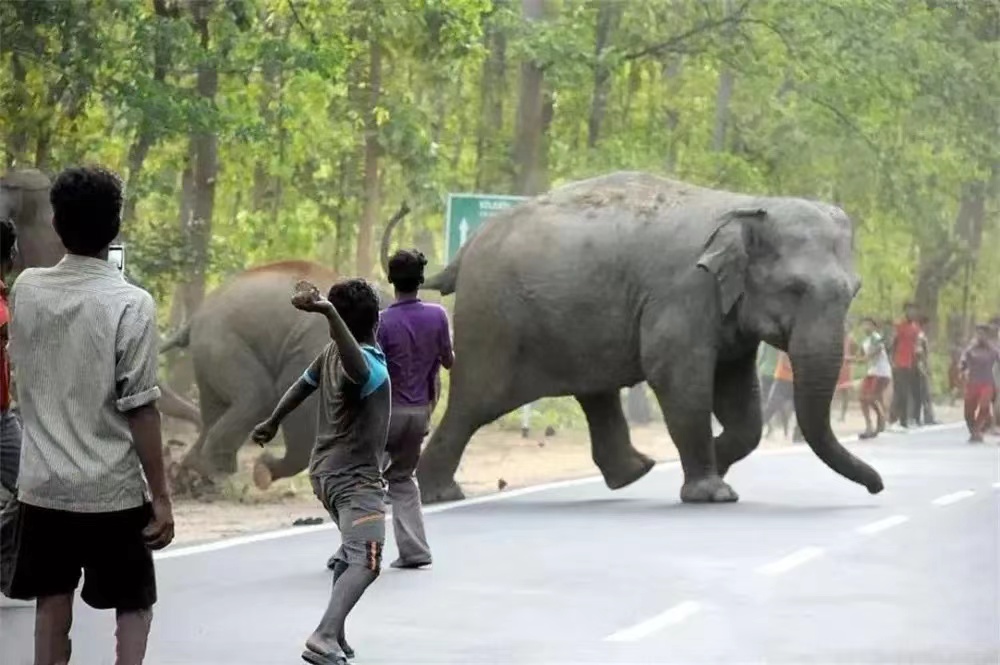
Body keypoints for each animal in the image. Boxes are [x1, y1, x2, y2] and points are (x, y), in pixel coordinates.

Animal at [412, 171, 884, 504]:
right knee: (476, 402)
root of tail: (467, 249)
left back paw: (635, 472)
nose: (877, 487)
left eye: (854, 291)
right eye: (795, 289)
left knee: (595, 393)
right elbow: (678, 378)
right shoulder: (684, 292)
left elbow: (740, 399)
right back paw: (440, 495)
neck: (747, 205)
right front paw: (713, 492)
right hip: (494, 319)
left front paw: (716, 463)